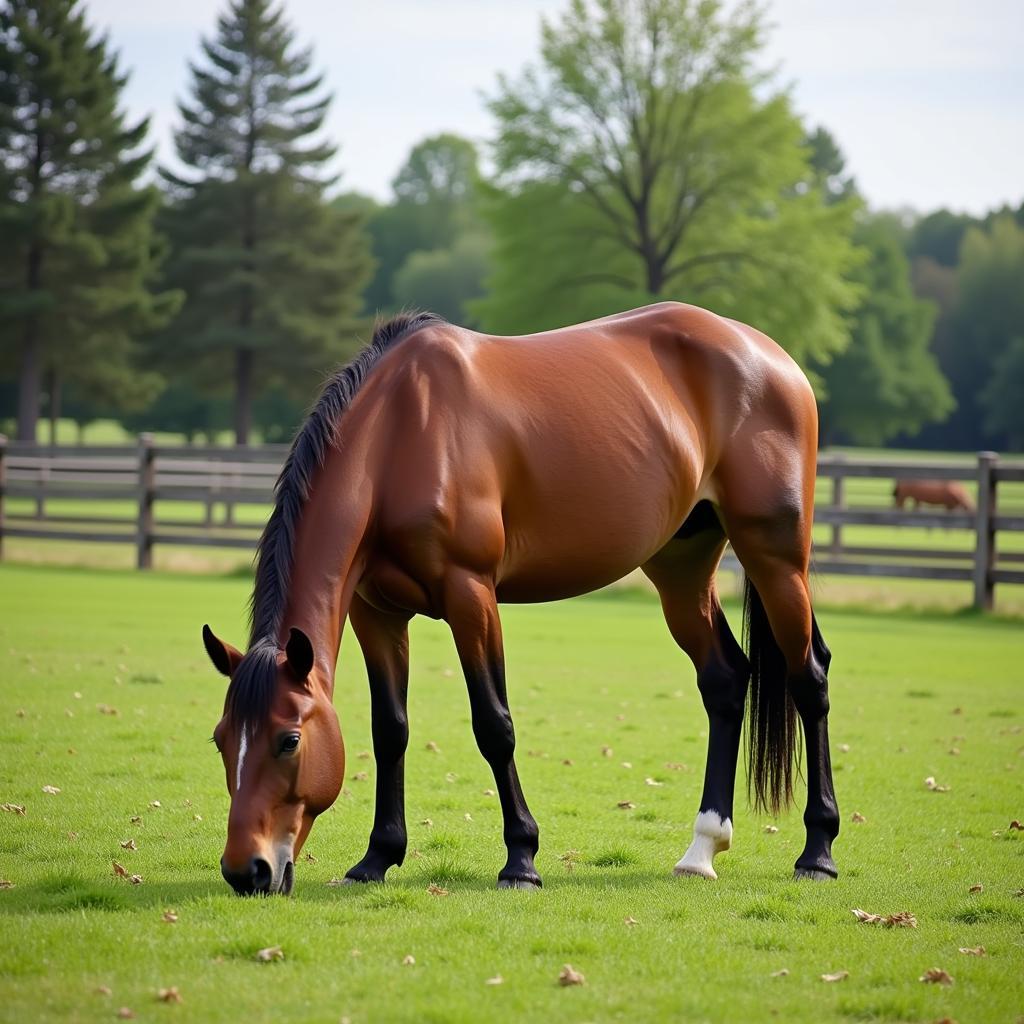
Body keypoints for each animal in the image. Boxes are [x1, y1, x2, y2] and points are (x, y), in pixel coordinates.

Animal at [201, 303, 839, 897]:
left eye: (289, 740)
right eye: (221, 738)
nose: (247, 870)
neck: (401, 435)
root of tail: (768, 355)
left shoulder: (471, 595)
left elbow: (494, 724)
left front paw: (522, 859)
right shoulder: (376, 613)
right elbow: (390, 729)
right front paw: (377, 858)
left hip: (776, 558)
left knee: (809, 678)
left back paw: (818, 851)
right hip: (681, 568)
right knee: (726, 680)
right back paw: (702, 848)